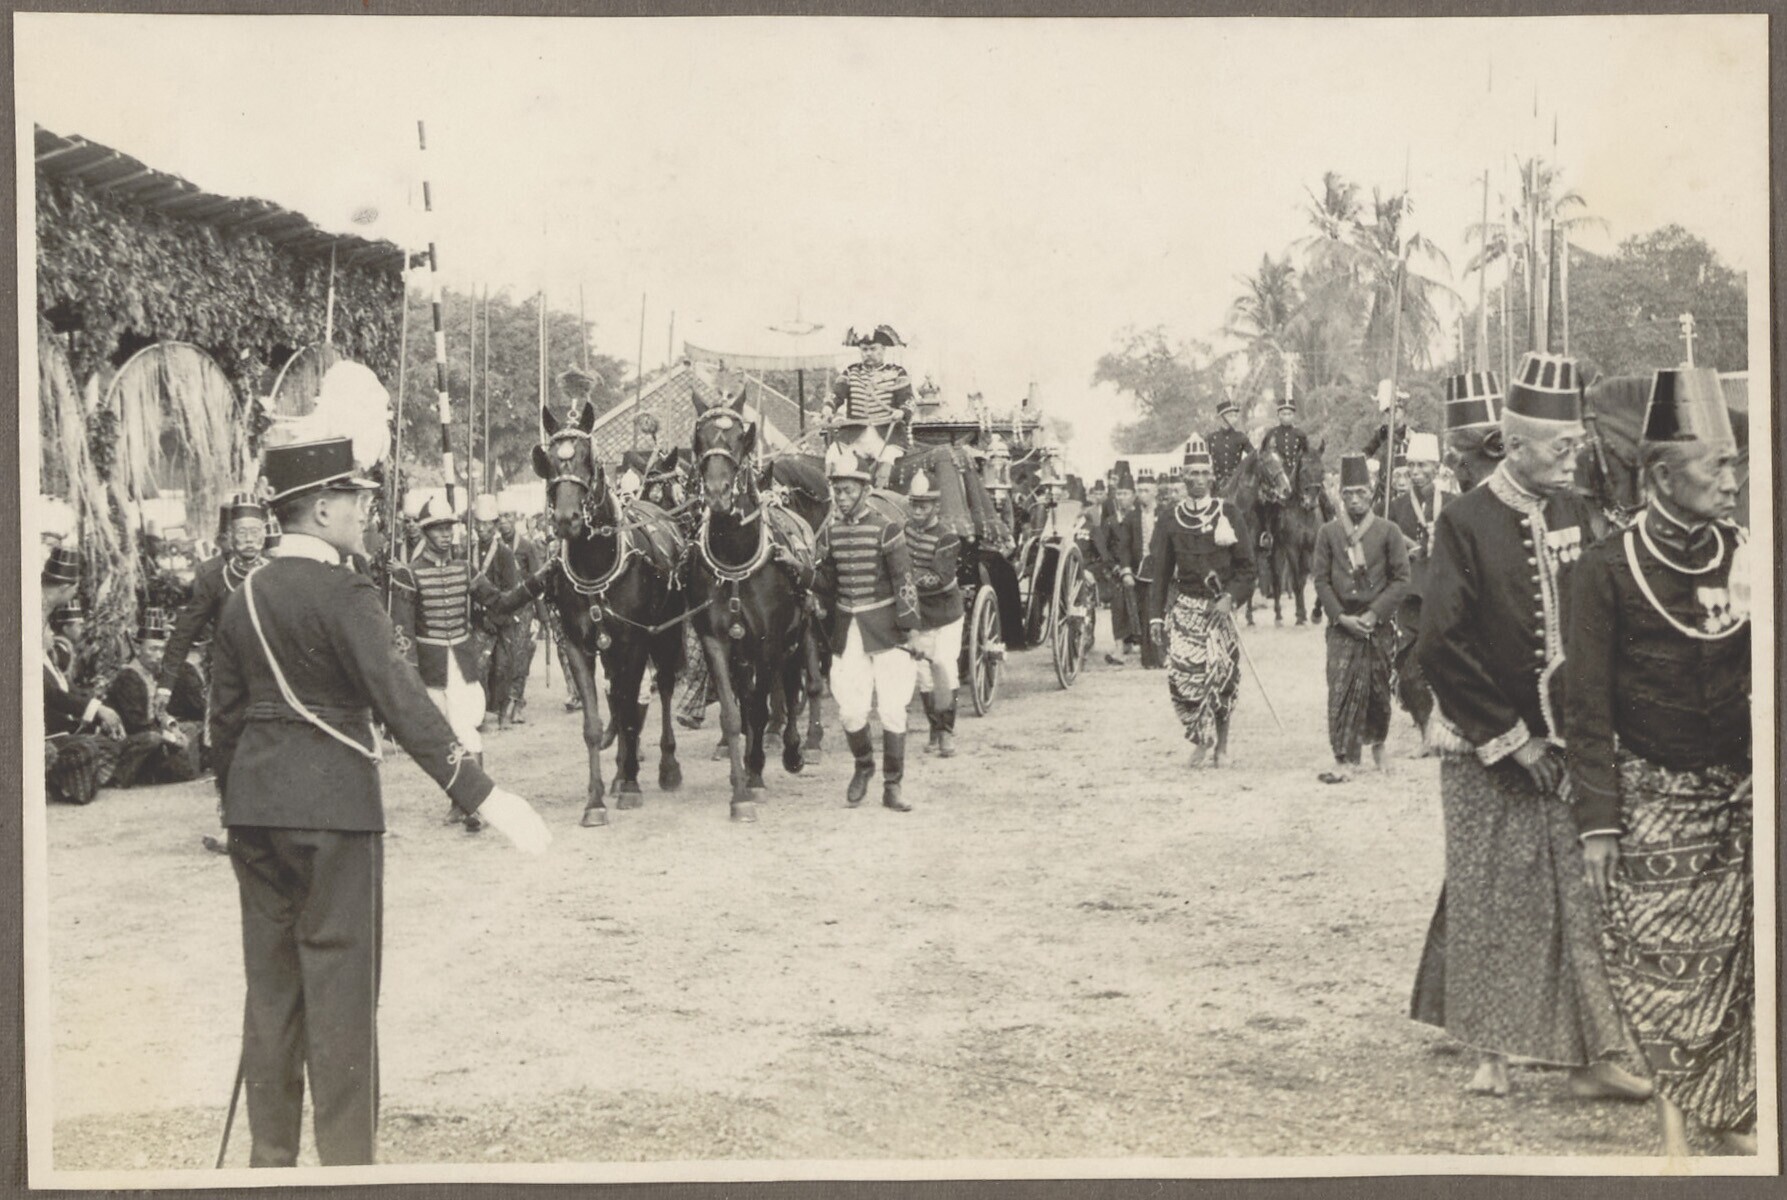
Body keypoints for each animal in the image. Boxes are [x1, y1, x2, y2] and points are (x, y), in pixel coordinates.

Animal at [533, 401, 687, 827]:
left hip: (665, 635)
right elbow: (596, 720)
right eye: (550, 461)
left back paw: (666, 766)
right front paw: (596, 799)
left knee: (661, 687)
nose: (566, 518)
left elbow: (631, 708)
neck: (596, 565)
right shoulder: (578, 645)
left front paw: (631, 786)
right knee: (619, 698)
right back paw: (620, 772)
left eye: (590, 459)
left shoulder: (634, 641)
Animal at [688, 387, 817, 823]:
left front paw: (757, 776)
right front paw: (740, 790)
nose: (717, 493)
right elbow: (734, 713)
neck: (735, 560)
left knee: (792, 684)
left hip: (797, 633)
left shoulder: (770, 640)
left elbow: (762, 707)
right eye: (699, 438)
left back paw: (794, 749)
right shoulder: (716, 641)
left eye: (740, 439)